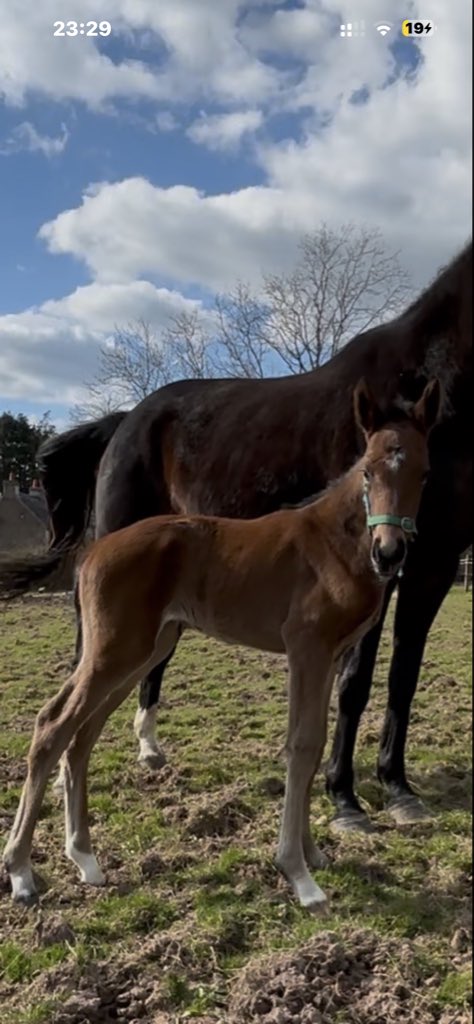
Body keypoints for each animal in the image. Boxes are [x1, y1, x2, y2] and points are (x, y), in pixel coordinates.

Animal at [0, 243, 471, 832]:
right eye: (364, 471)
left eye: (425, 475)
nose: (388, 550)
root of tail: (125, 420)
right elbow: (355, 683)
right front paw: (345, 799)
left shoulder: (433, 564)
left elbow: (403, 679)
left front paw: (398, 788)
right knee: (85, 668)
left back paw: (147, 750)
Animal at [3, 378, 442, 909]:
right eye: (369, 470)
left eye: (425, 473)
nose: (389, 553)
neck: (333, 542)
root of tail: (92, 551)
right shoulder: (307, 649)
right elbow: (301, 745)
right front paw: (298, 875)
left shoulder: (329, 657)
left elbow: (314, 744)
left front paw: (314, 855)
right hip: (114, 652)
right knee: (53, 726)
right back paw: (21, 872)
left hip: (140, 653)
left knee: (81, 737)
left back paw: (85, 860)